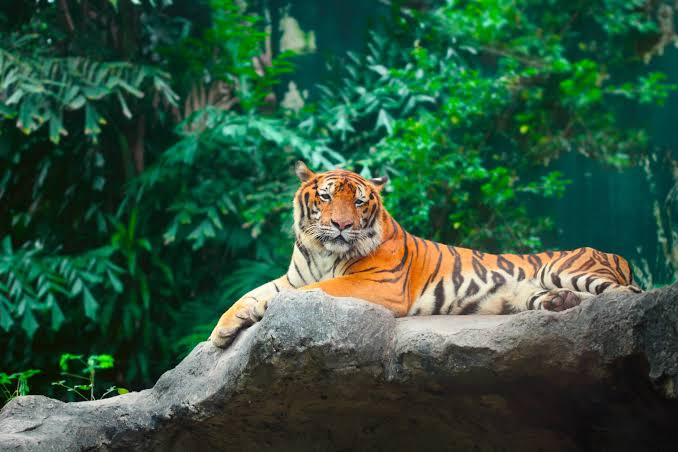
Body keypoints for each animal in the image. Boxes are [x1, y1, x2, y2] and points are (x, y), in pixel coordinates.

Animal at [209, 161, 642, 348]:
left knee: (628, 296)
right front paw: (221, 333)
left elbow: (316, 291)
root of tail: (615, 253)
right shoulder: (292, 277)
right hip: (534, 291)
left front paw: (266, 312)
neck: (322, 252)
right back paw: (561, 303)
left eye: (360, 201)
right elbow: (246, 295)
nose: (342, 226)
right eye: (327, 197)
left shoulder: (376, 284)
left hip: (564, 266)